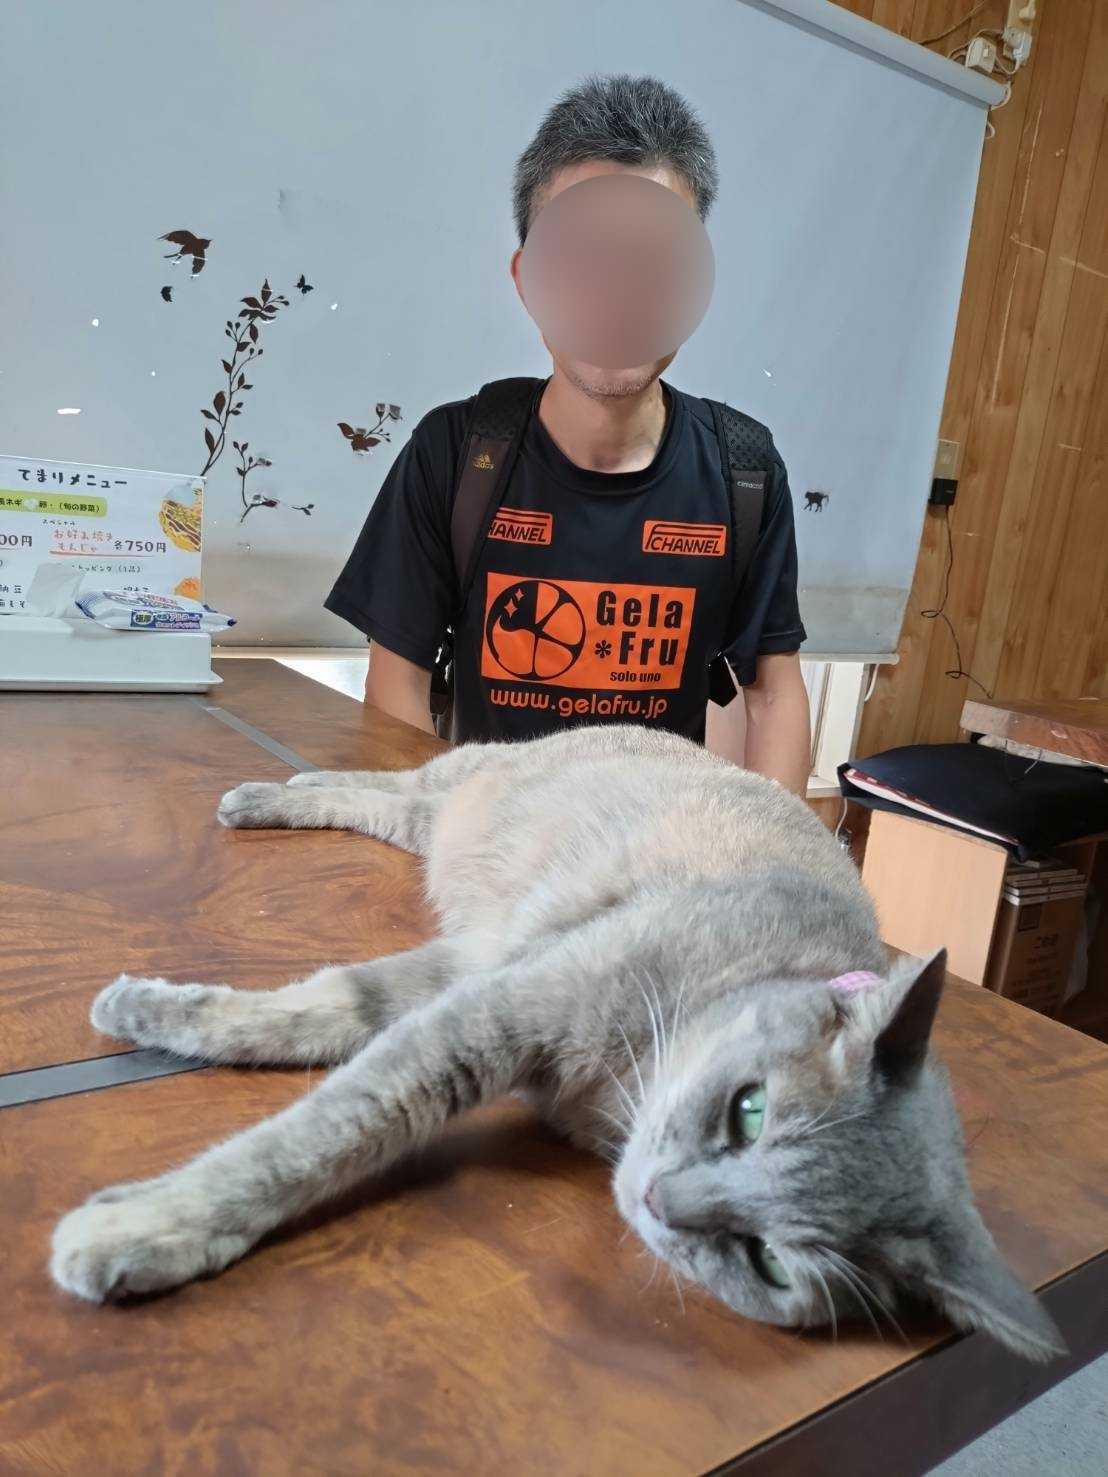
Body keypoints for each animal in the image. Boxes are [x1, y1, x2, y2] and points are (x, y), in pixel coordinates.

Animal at [51, 724, 1063, 1362]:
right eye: (749, 1110)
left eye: (769, 1262)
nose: (660, 1199)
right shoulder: (502, 1005)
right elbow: (315, 1132)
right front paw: (153, 1221)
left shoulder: (468, 978)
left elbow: (325, 1016)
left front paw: (155, 1018)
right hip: (468, 777)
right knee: (394, 779)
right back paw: (267, 790)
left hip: (440, 827)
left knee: (384, 801)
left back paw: (286, 791)